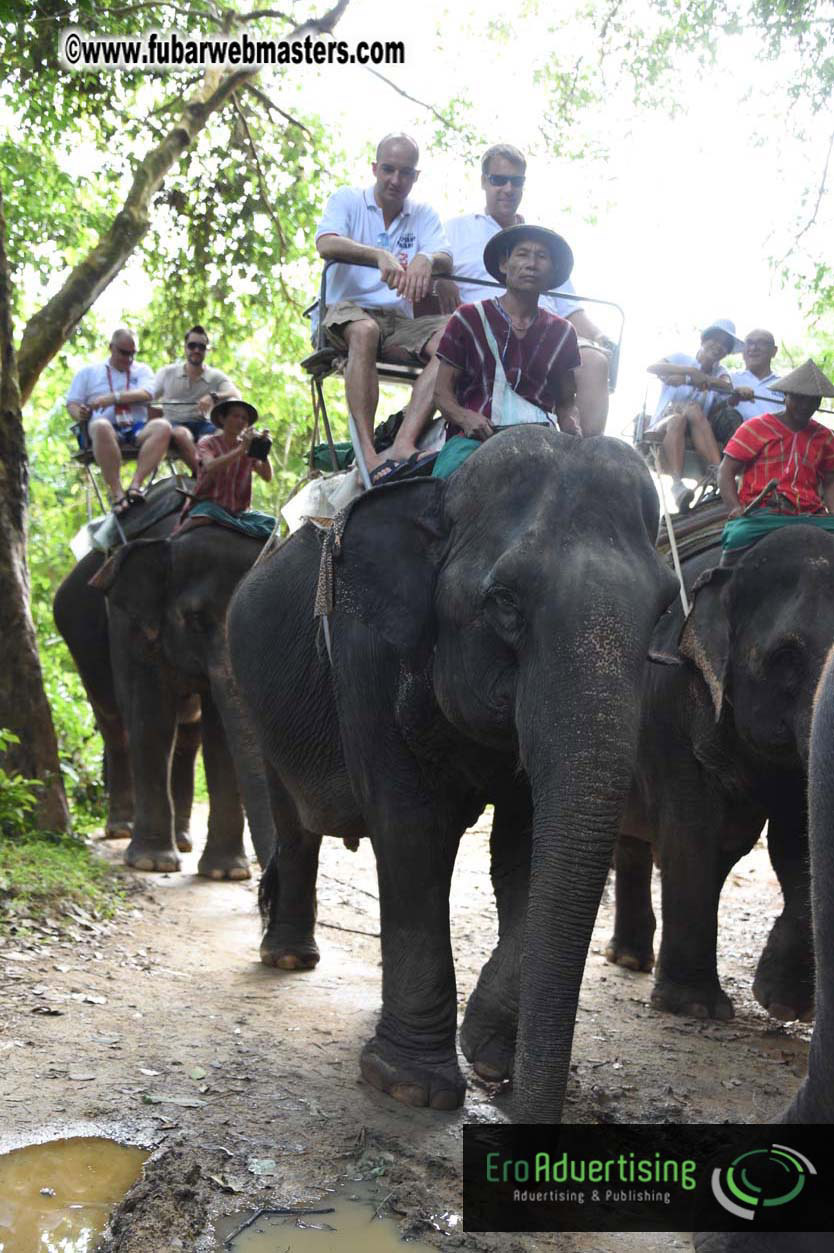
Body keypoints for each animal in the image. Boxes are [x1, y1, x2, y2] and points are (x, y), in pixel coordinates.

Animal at [89, 522, 275, 877]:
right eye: (196, 619)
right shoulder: (130, 628)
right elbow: (151, 717)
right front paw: (151, 863)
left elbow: (221, 736)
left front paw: (226, 873)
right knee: (115, 727)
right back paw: (121, 830)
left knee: (188, 741)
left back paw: (183, 841)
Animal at [227, 426, 679, 1122]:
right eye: (504, 603)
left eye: (663, 611)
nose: (519, 1098)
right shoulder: (363, 651)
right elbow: (412, 831)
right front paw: (409, 1086)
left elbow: (526, 850)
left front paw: (489, 1053)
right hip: (258, 700)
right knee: (294, 819)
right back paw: (289, 959)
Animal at [608, 524, 834, 1024]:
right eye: (786, 658)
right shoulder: (676, 705)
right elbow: (692, 832)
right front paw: (694, 1008)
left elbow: (797, 843)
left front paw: (783, 1004)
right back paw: (630, 961)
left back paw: (632, 958)